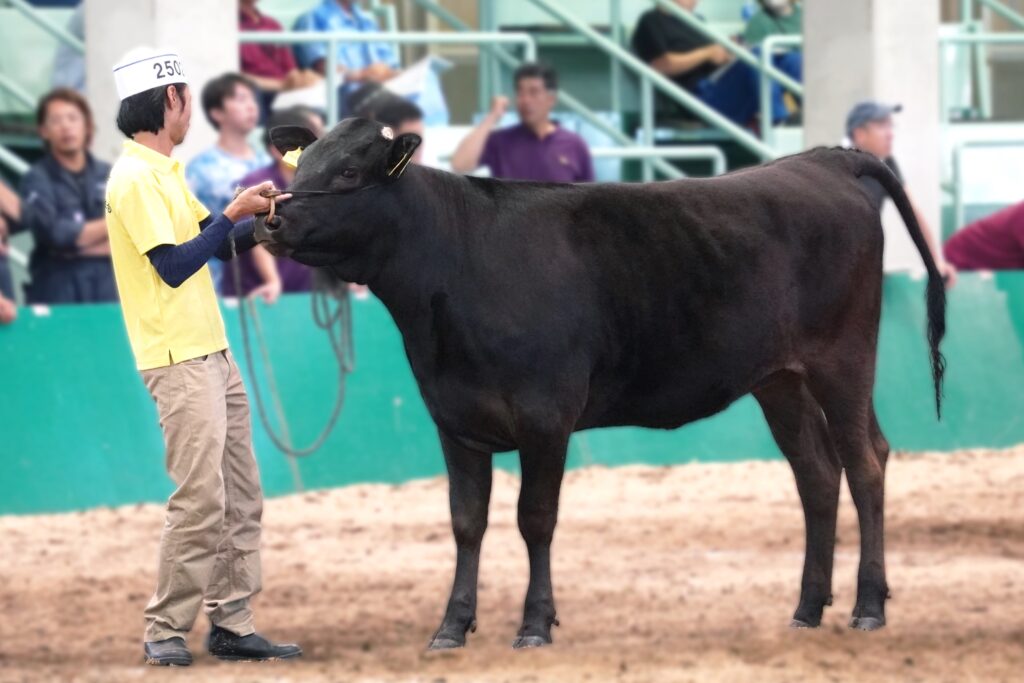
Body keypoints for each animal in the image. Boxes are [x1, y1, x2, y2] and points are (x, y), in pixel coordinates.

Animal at [256, 117, 942, 651]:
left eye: (348, 172)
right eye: (302, 164)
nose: (269, 218)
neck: (457, 263)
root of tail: (823, 159)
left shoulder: (546, 414)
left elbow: (535, 518)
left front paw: (535, 624)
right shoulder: (454, 417)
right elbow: (466, 522)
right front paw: (452, 626)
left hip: (843, 359)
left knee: (865, 464)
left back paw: (867, 608)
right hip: (780, 379)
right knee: (817, 474)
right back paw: (806, 610)